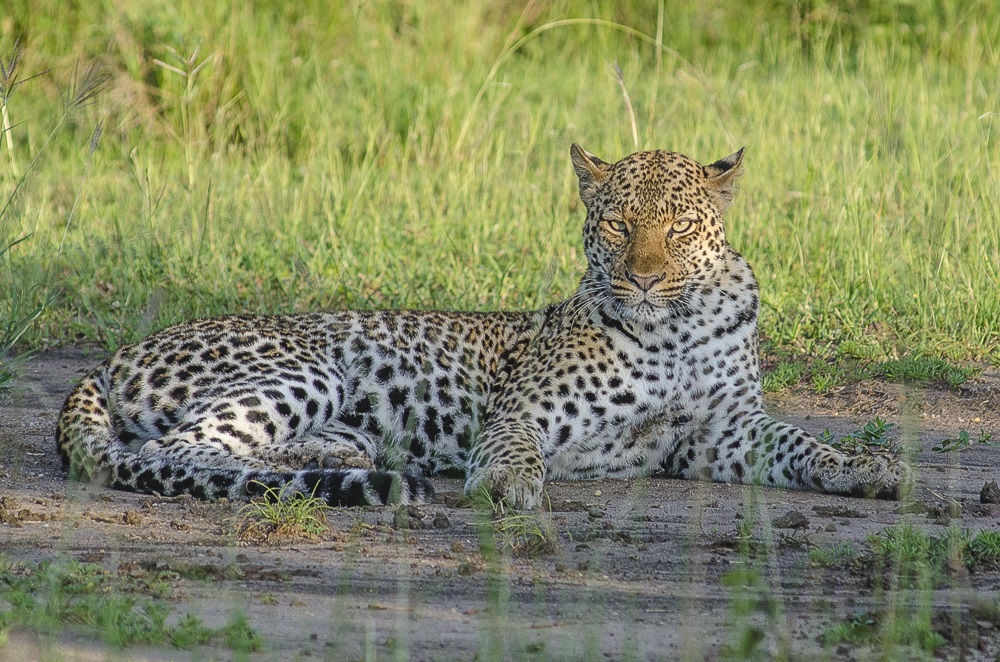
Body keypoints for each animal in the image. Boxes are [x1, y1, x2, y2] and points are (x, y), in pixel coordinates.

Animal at [56, 144, 906, 509]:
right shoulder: (524, 409)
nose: (643, 277)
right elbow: (511, 446)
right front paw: (505, 485)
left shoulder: (719, 433)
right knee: (176, 452)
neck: (678, 326)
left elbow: (799, 441)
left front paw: (868, 467)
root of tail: (109, 358)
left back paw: (347, 460)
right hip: (305, 365)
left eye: (679, 228)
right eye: (620, 225)